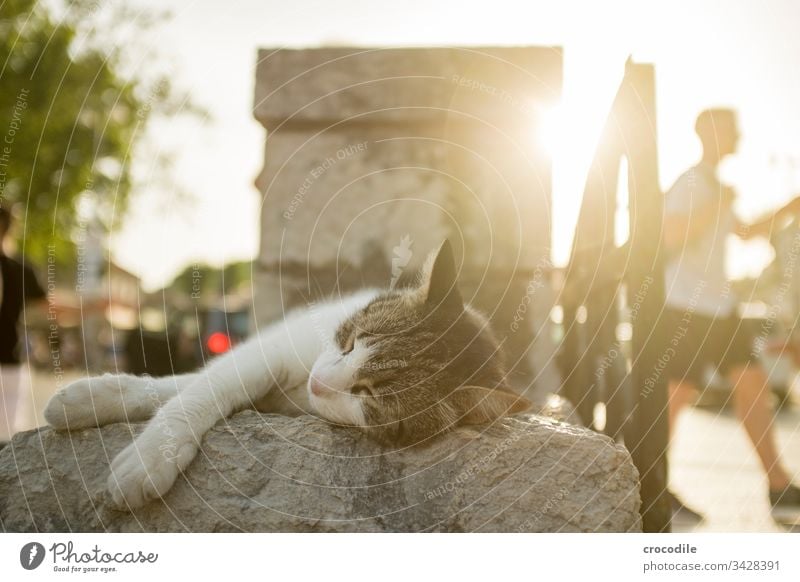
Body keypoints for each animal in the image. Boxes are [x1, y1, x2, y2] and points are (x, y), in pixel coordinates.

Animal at [42, 242, 532, 512]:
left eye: (367, 394)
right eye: (350, 341)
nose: (319, 384)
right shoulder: (269, 353)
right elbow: (195, 390)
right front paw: (116, 418)